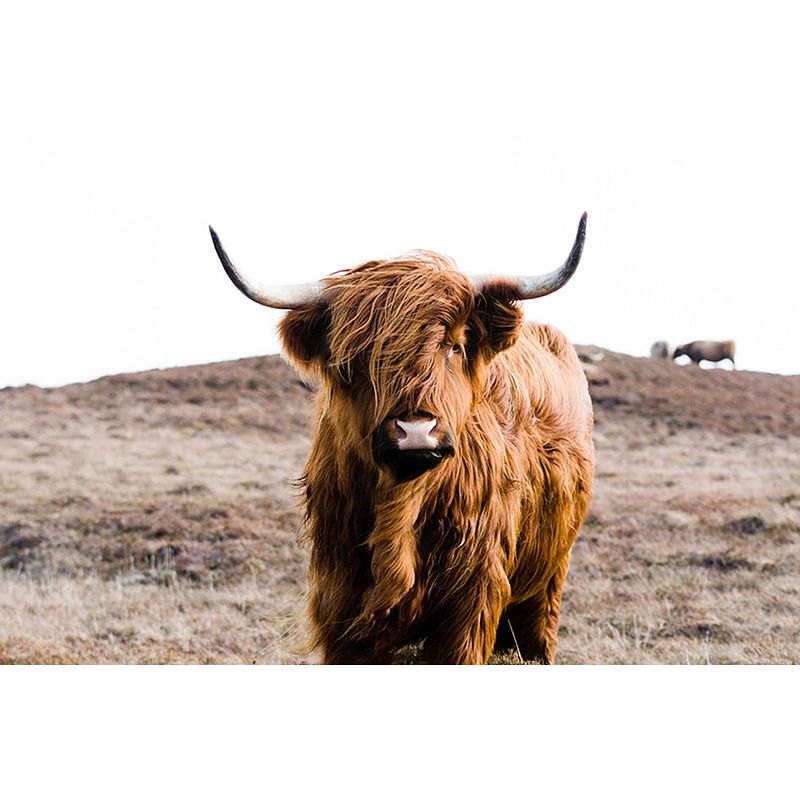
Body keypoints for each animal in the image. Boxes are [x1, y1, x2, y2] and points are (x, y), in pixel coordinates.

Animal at [209, 212, 596, 664]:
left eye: (455, 345)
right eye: (353, 358)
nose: (415, 432)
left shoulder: (472, 599)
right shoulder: (339, 601)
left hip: (549, 577)